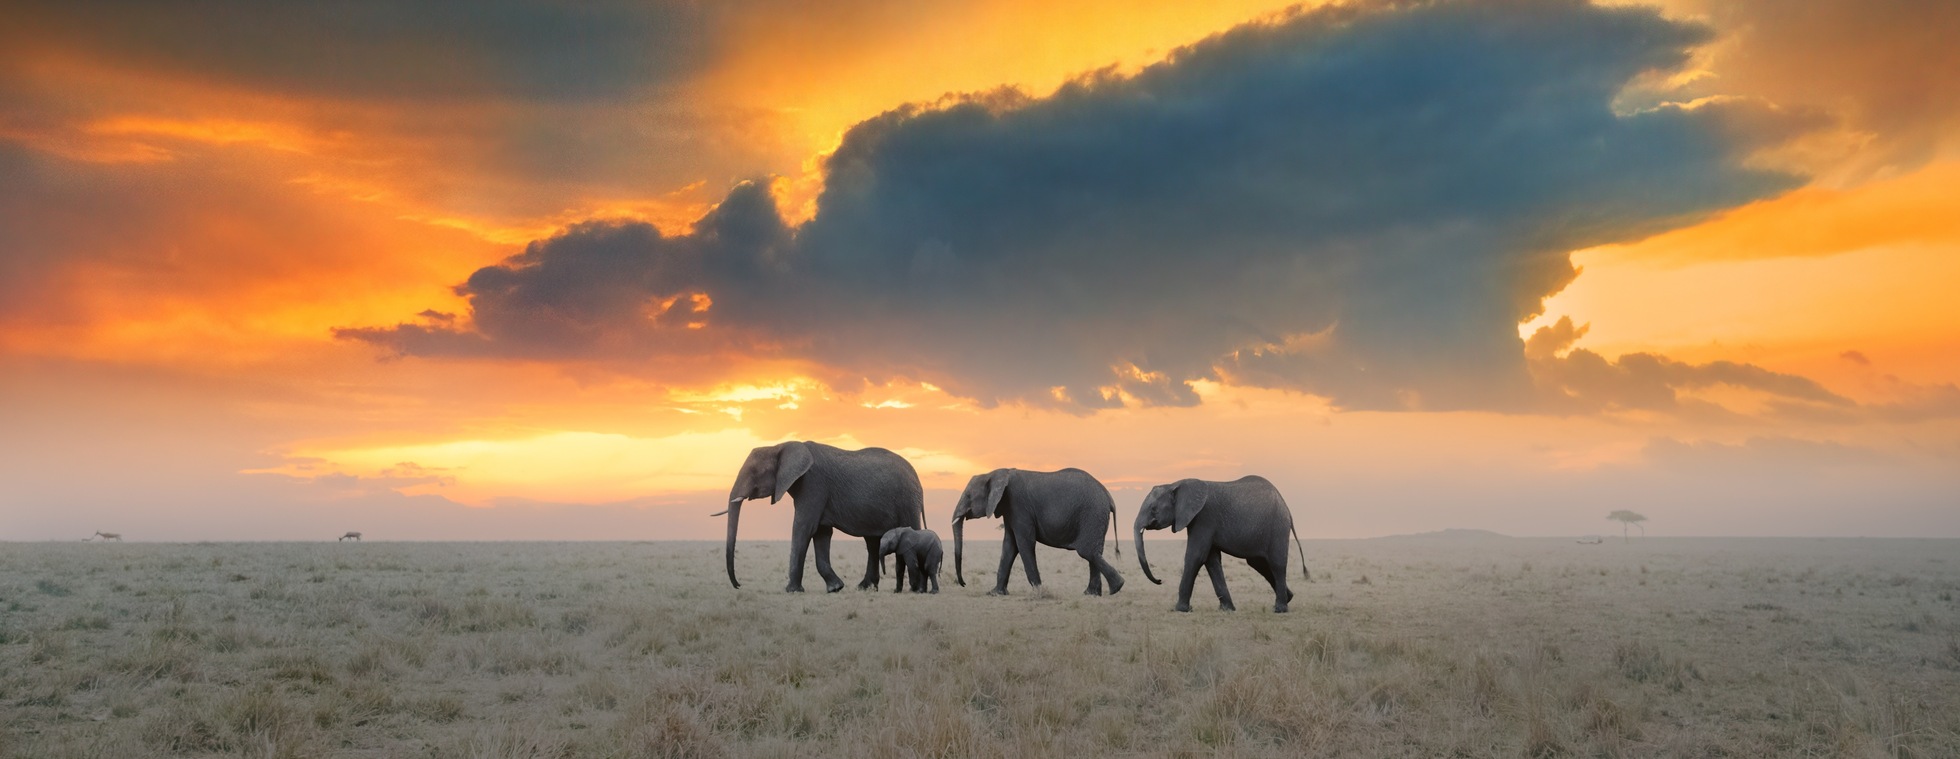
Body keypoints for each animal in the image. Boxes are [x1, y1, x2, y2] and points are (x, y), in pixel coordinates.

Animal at [716, 441, 924, 592]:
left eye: (755, 472)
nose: (739, 585)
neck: (780, 446)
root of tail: (917, 477)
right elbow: (821, 533)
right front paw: (835, 588)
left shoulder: (813, 484)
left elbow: (803, 527)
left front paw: (792, 591)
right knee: (872, 542)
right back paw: (864, 587)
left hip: (907, 501)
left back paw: (915, 589)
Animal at [951, 468, 1124, 596]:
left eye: (968, 496)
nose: (964, 583)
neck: (995, 473)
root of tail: (1109, 497)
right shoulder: (1009, 510)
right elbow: (1009, 546)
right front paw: (995, 593)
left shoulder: (1019, 506)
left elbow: (1024, 543)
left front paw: (1040, 592)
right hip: (1096, 517)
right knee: (1093, 552)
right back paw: (1092, 593)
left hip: (1092, 514)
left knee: (1087, 551)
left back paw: (1116, 588)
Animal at [1134, 476, 1308, 613]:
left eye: (1154, 509)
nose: (1160, 580)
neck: (1175, 483)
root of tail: (1287, 508)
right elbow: (1211, 561)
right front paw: (1227, 609)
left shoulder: (1204, 518)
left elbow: (1195, 556)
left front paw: (1180, 610)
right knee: (1258, 563)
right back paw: (1289, 597)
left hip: (1277, 528)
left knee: (1276, 564)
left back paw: (1280, 609)